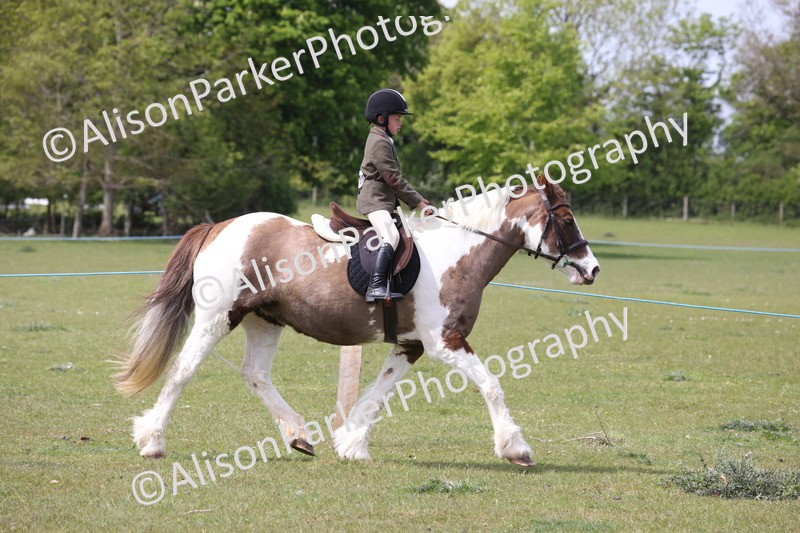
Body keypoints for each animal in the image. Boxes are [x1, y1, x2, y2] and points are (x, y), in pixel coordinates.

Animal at [114, 175, 600, 467]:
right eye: (566, 217)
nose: (591, 269)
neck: (456, 253)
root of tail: (220, 226)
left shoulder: (411, 345)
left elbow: (377, 394)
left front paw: (350, 443)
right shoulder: (446, 341)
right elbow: (491, 384)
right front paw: (516, 448)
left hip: (264, 320)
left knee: (255, 374)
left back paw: (298, 436)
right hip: (218, 318)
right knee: (183, 371)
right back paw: (152, 440)